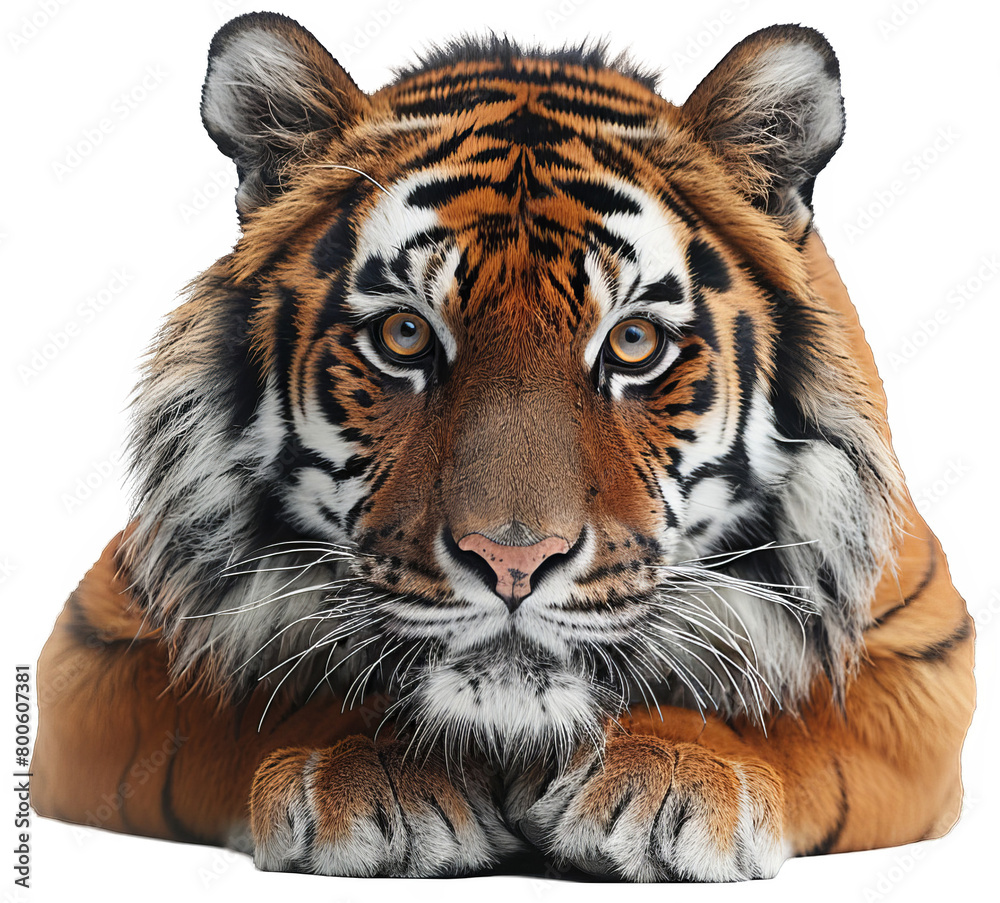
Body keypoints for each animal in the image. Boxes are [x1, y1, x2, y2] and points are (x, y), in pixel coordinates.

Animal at [30, 12, 975, 882]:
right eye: (406, 334)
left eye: (634, 342)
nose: (513, 560)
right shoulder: (103, 650)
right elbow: (238, 699)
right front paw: (365, 773)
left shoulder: (916, 651)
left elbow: (798, 715)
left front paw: (675, 768)